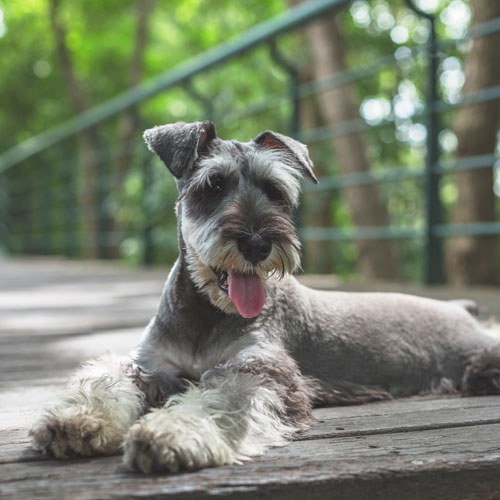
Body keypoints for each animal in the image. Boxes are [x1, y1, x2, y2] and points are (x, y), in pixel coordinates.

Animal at [30, 120, 500, 472]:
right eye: (213, 186)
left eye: (275, 191)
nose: (257, 243)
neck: (205, 314)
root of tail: (460, 309)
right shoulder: (149, 366)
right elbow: (106, 381)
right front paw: (75, 420)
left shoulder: (257, 371)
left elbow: (215, 400)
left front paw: (169, 432)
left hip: (478, 359)